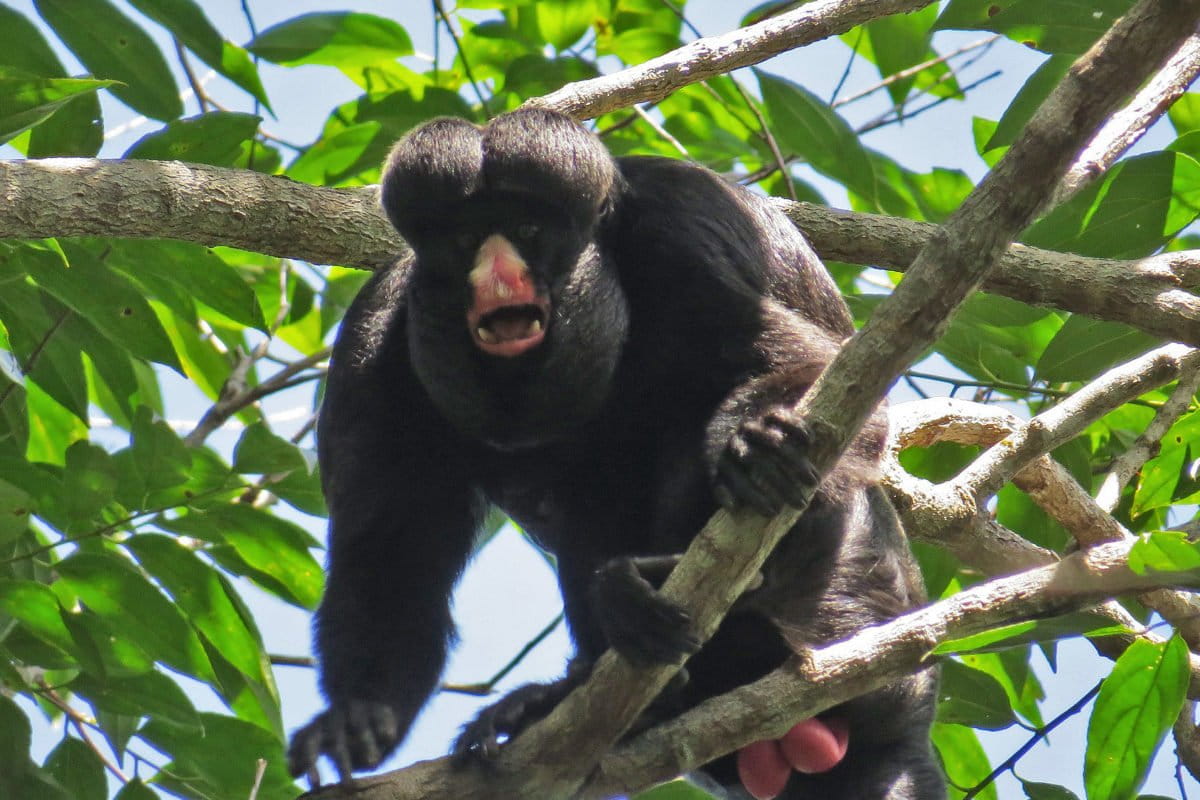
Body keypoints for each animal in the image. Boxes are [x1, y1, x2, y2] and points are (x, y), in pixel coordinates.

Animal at [285, 107, 940, 800]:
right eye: (466, 241)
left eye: (528, 230)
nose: (498, 275)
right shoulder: (375, 332)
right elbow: (390, 549)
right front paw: (355, 716)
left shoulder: (676, 226)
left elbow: (820, 372)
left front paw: (761, 445)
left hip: (847, 608)